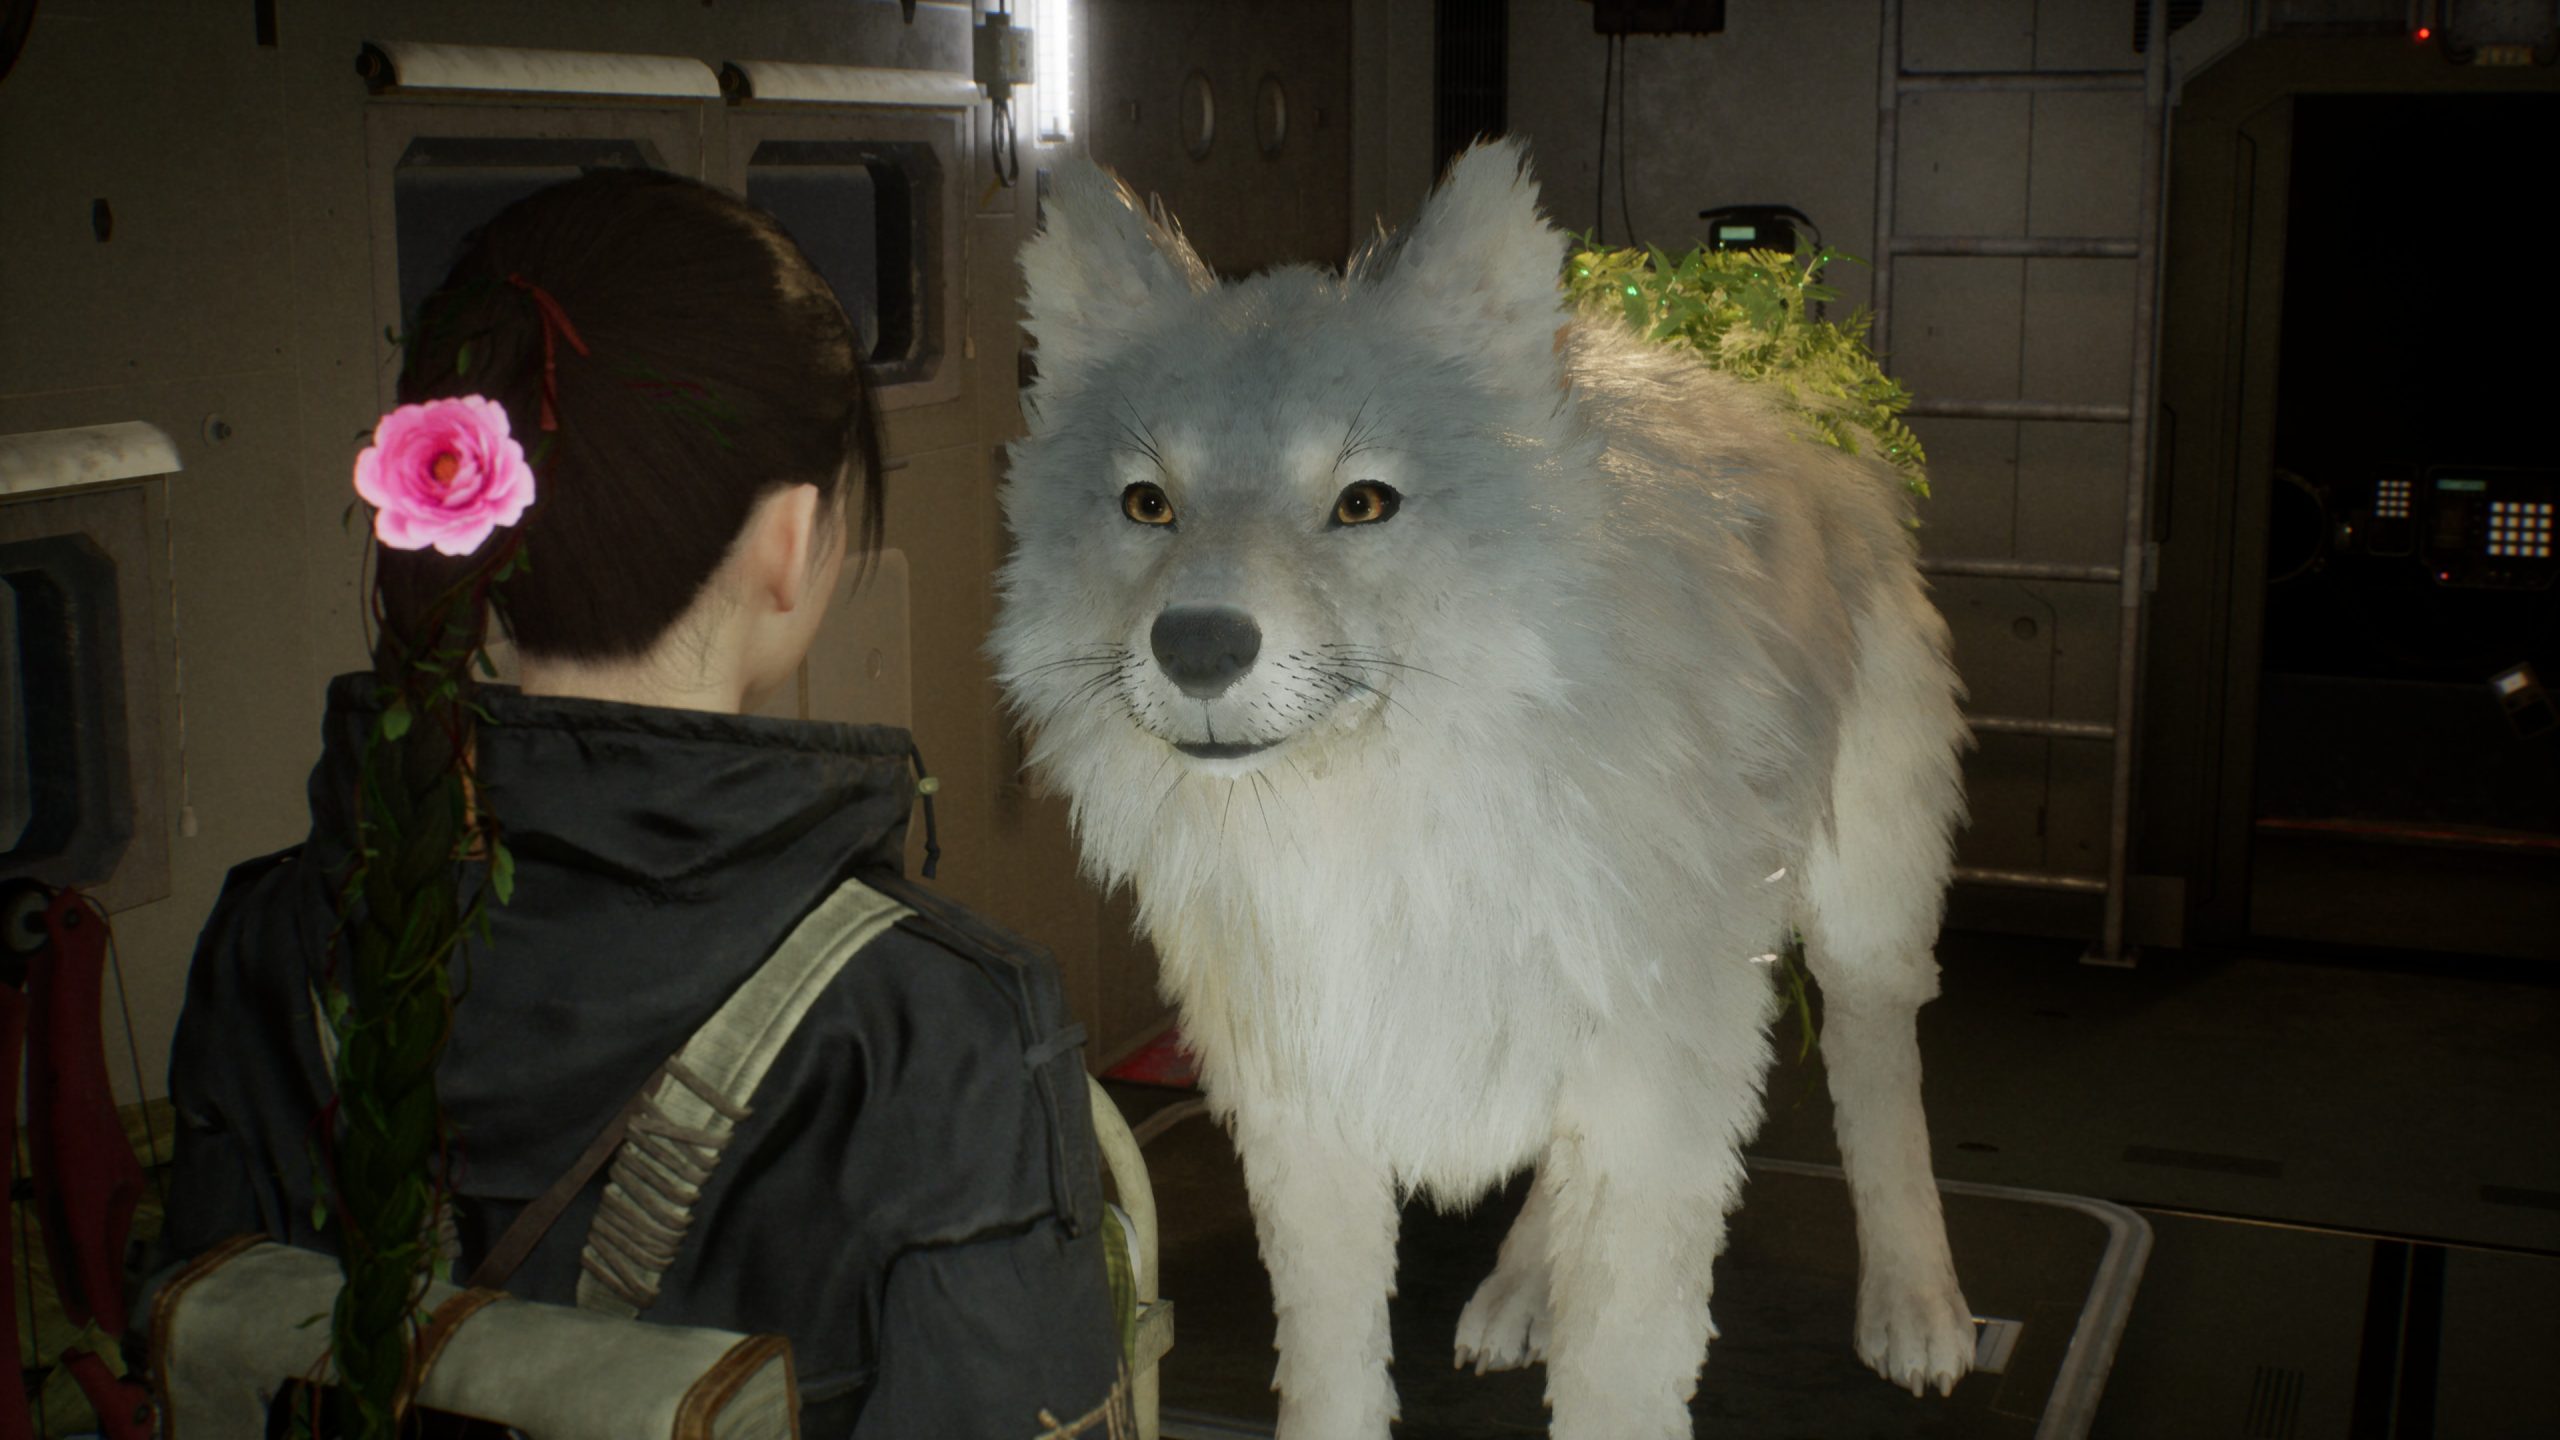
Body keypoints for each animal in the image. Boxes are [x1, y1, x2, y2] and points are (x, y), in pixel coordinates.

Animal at [991, 139, 1977, 1438]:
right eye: (1147, 505)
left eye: (1362, 502)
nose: (1197, 646)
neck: (1379, 840)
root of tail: (1761, 363)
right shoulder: (1306, 1113)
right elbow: (1331, 1376)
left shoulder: (1661, 1103)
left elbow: (1621, 1380)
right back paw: (1521, 1291)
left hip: (1858, 913)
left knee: (1880, 1068)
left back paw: (1917, 1309)